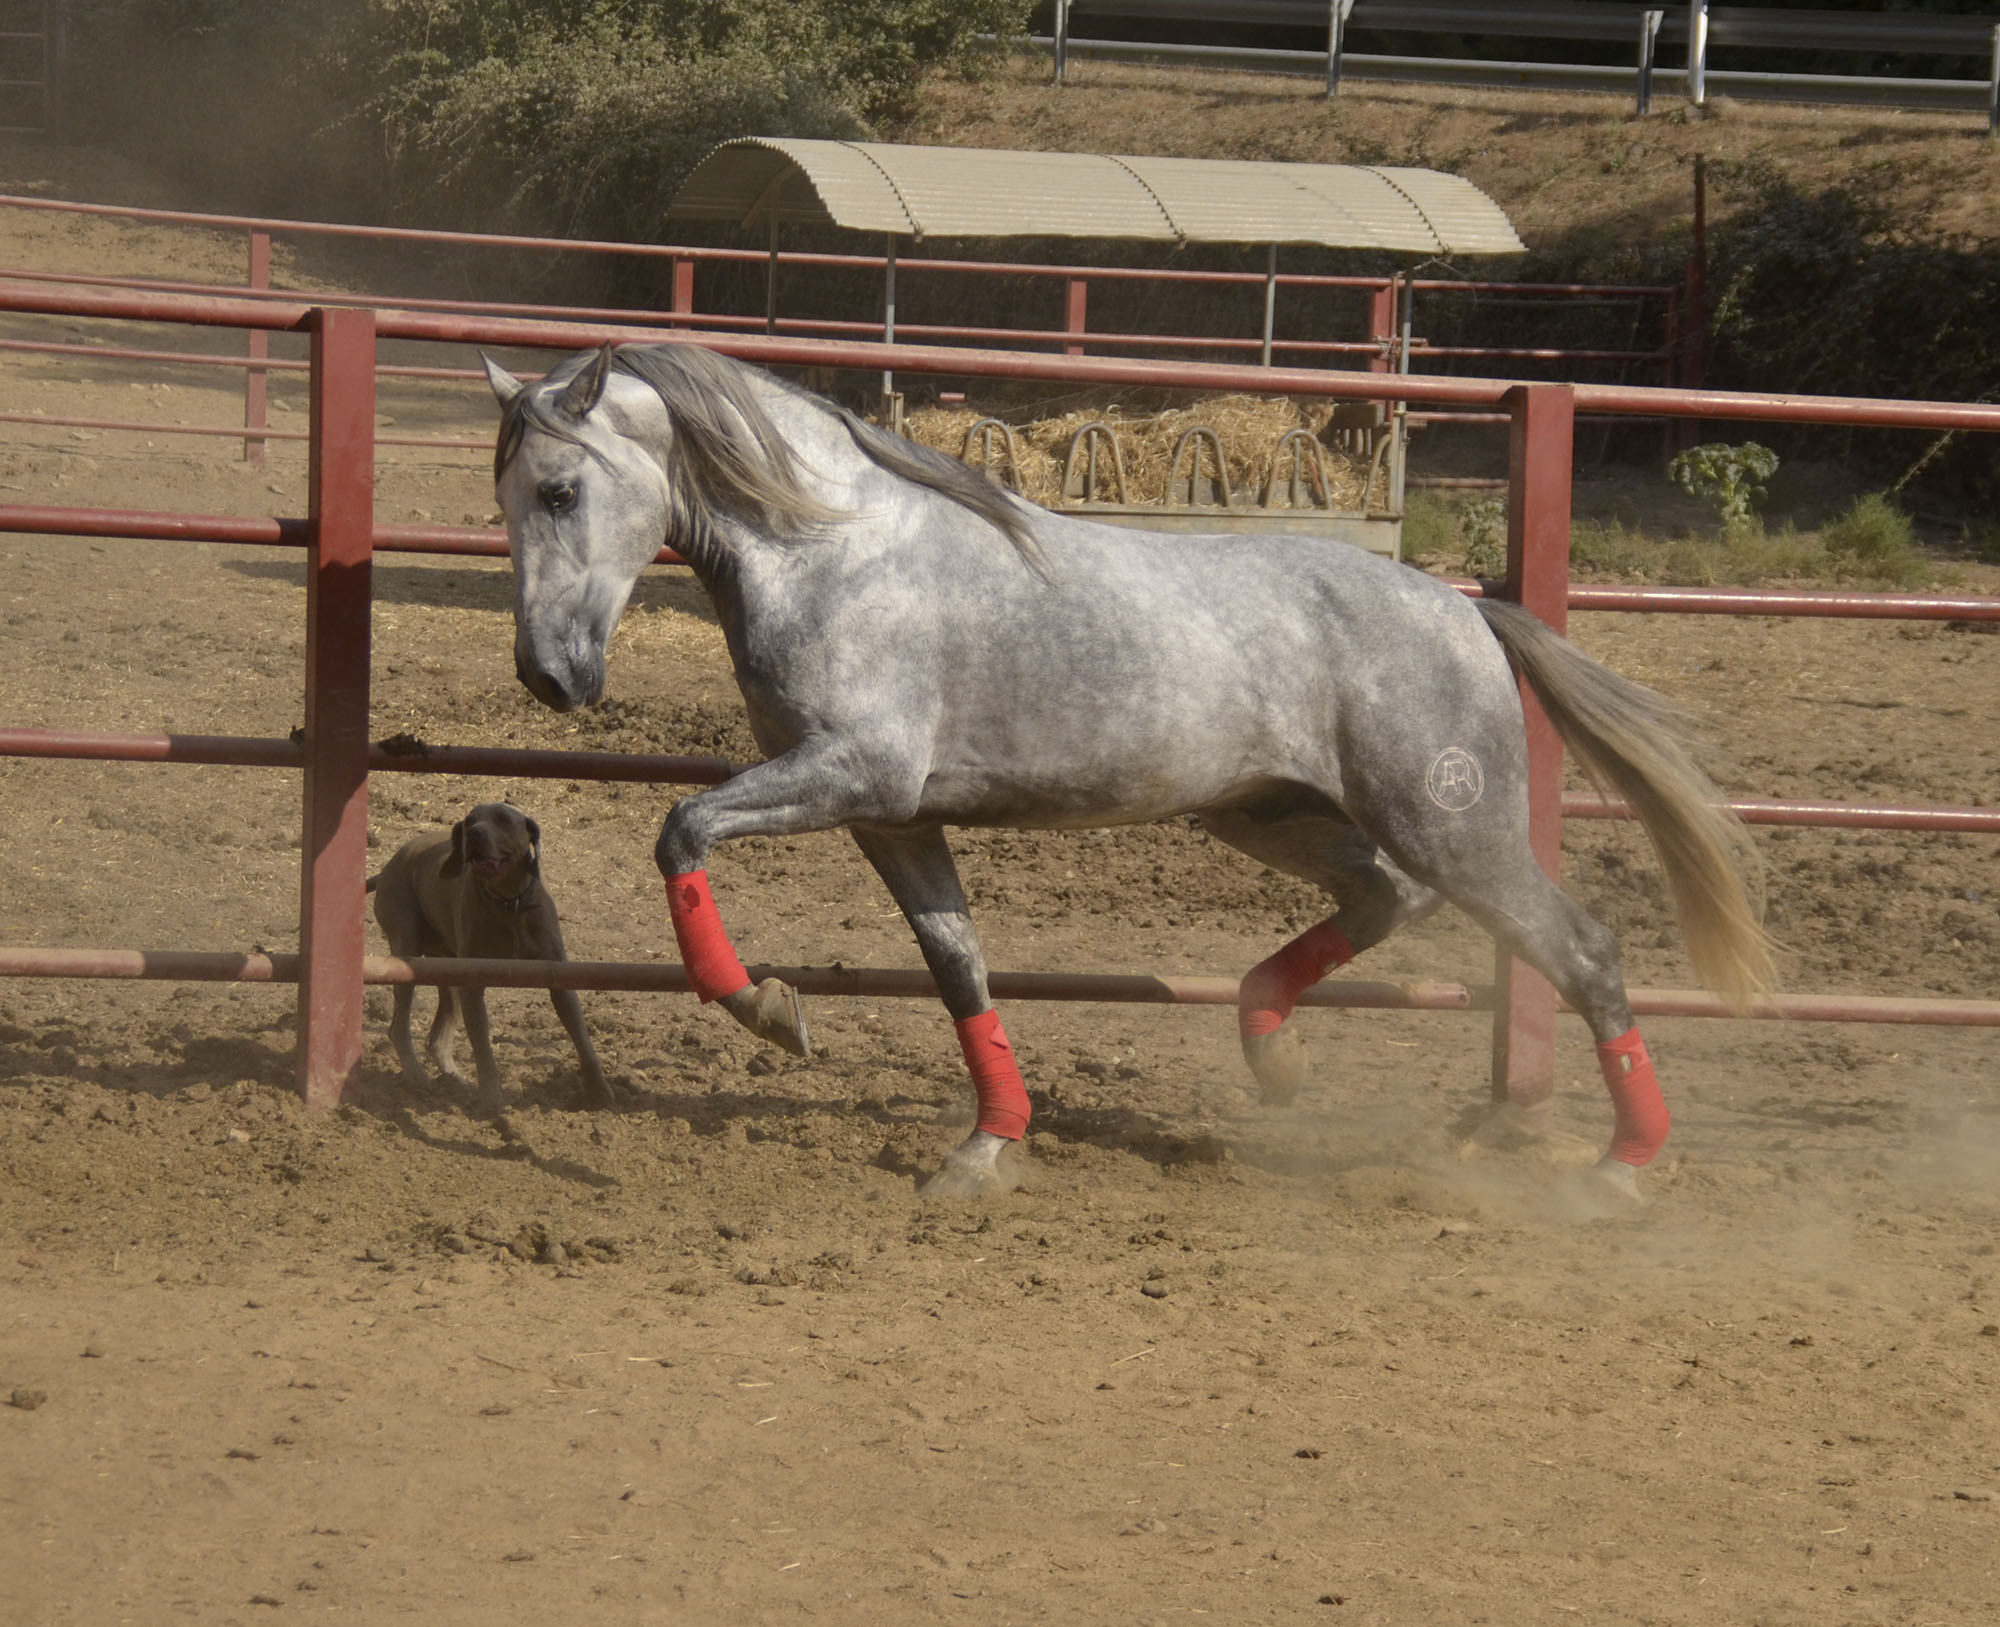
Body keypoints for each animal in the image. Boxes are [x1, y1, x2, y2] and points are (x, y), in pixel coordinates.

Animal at [368, 807, 612, 1111]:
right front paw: (492, 1101)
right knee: (398, 1027)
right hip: (407, 949)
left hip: (445, 966)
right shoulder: (472, 983)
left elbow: (581, 1035)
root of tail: (386, 869)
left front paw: (599, 1091)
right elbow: (482, 1047)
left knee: (437, 1038)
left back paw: (454, 1081)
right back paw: (417, 1075)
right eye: (470, 820)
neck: (509, 903)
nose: (473, 833)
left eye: (504, 819)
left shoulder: (559, 977)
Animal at [480, 343, 1768, 1207]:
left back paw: (1617, 1166)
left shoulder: (853, 772)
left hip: (1456, 825)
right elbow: (957, 966)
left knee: (1580, 948)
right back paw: (1273, 1051)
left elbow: (681, 827)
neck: (834, 553)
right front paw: (986, 1144)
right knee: (1381, 900)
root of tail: (1468, 611)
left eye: (560, 491)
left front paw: (766, 1009)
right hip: (1269, 814)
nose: (547, 675)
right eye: (501, 497)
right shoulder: (892, 817)